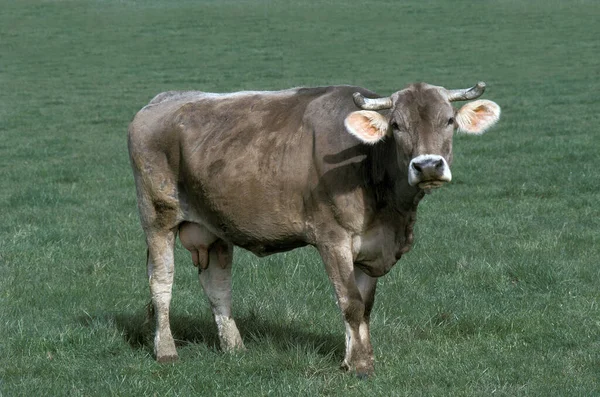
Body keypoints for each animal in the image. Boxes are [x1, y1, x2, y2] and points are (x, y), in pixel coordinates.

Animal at [127, 81, 502, 374]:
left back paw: (234, 347)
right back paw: (166, 351)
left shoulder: (371, 248)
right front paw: (361, 366)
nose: (427, 166)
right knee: (161, 282)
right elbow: (349, 302)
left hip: (215, 227)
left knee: (217, 286)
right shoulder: (332, 238)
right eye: (396, 125)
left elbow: (365, 307)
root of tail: (162, 100)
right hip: (157, 216)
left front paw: (354, 358)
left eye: (449, 120)